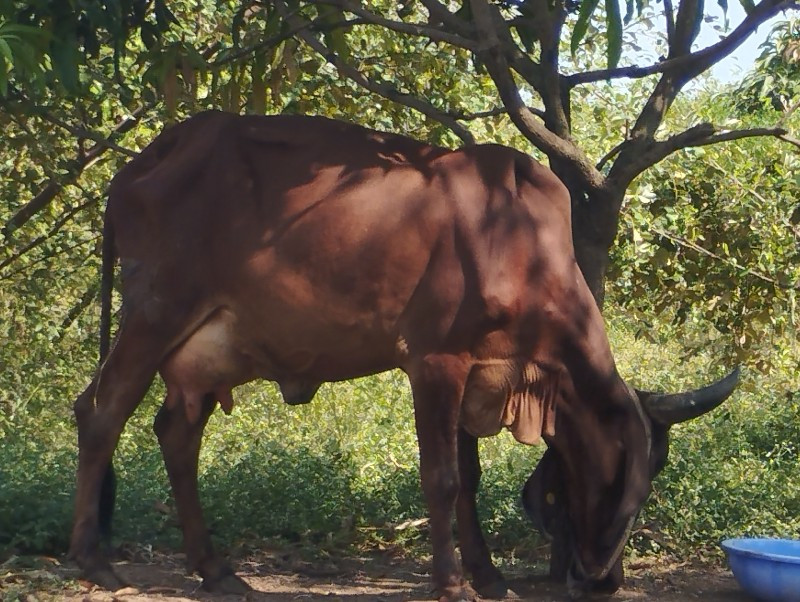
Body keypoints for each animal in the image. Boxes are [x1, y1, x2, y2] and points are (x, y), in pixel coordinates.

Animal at [70, 111, 736, 596]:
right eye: (636, 480)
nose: (606, 580)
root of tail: (143, 162)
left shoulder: (477, 372)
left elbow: (468, 480)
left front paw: (488, 577)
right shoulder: (435, 360)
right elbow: (441, 478)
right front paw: (452, 584)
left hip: (207, 351)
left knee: (176, 436)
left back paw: (215, 571)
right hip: (155, 313)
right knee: (100, 412)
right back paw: (94, 562)